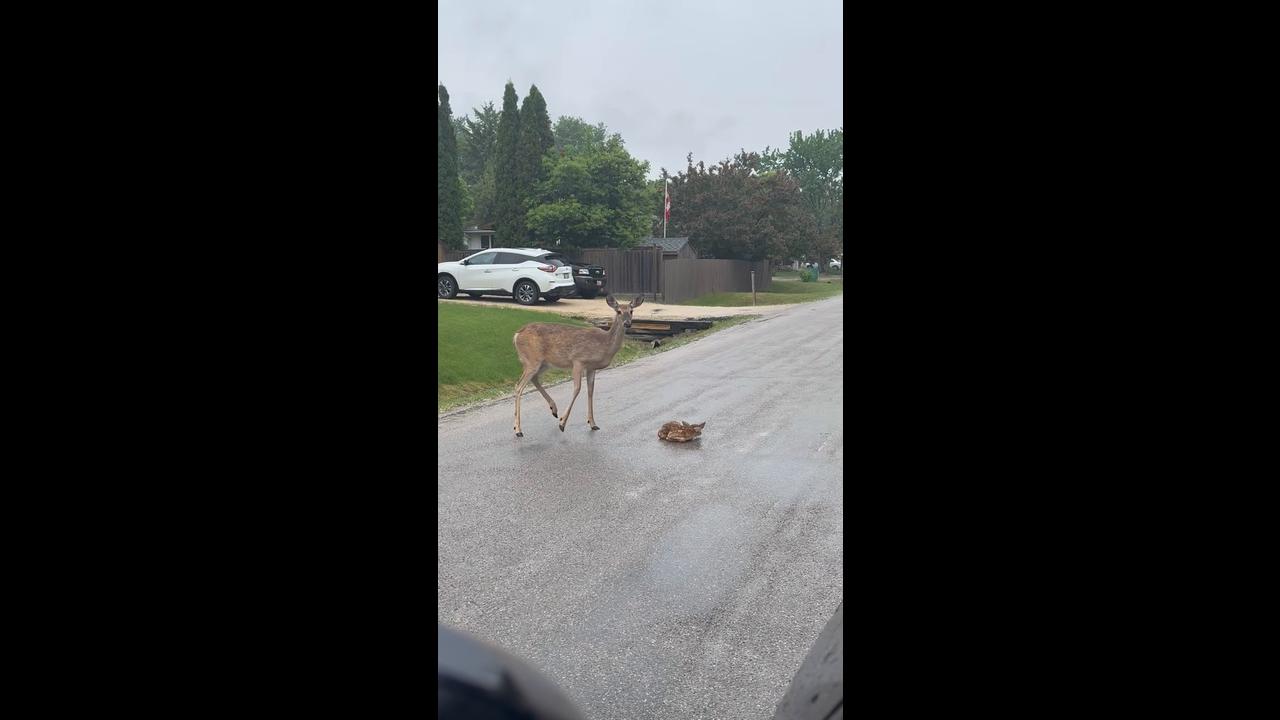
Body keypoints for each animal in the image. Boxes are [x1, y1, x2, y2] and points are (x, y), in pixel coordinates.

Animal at [511, 294, 644, 437]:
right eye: (618, 311)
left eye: (631, 311)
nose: (627, 323)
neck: (604, 344)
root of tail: (517, 335)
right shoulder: (578, 360)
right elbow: (577, 389)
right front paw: (562, 423)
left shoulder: (591, 367)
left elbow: (590, 391)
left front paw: (593, 423)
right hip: (532, 360)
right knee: (519, 387)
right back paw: (518, 429)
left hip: (543, 363)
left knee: (534, 379)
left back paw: (554, 409)